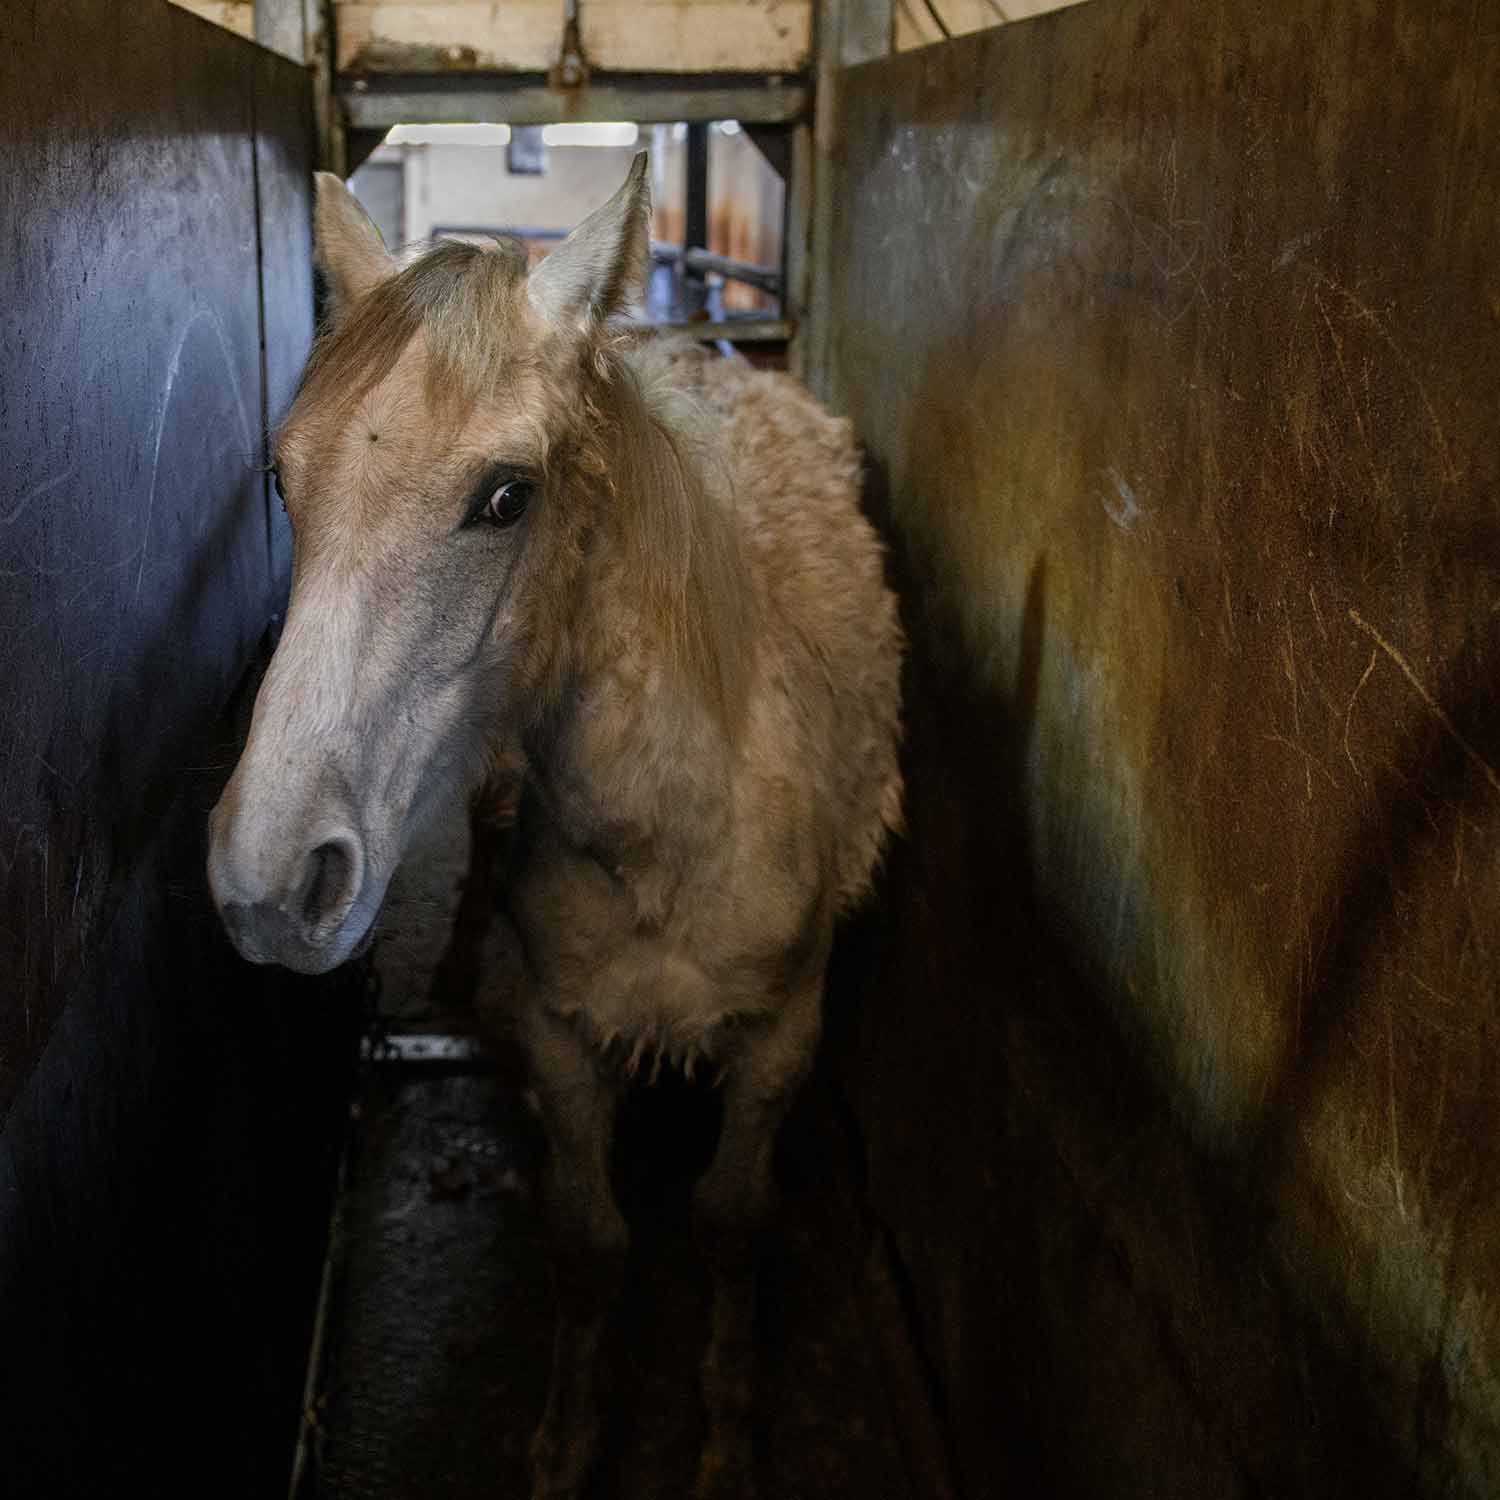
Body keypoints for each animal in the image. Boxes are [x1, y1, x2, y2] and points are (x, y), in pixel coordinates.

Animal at [205, 155, 894, 1500]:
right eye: (284, 480)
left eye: (505, 496)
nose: (269, 881)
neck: (675, 839)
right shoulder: (565, 1037)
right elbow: (589, 1244)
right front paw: (572, 1443)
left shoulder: (783, 1035)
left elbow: (730, 1225)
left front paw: (725, 1432)